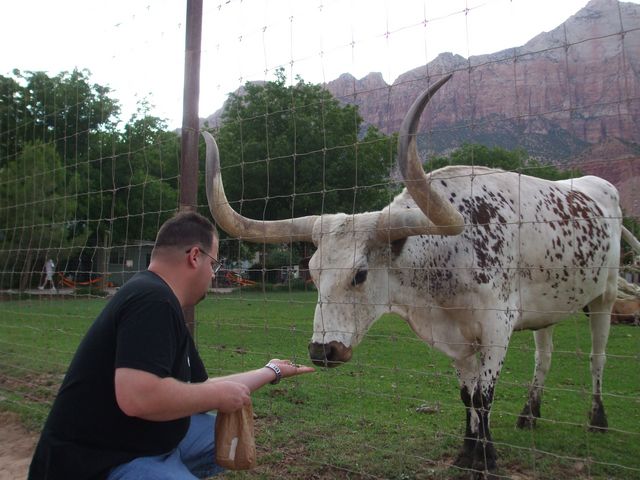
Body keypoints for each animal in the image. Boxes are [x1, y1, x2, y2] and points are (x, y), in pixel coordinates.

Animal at [202, 74, 631, 477]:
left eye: (360, 274)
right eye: (311, 272)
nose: (323, 351)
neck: (448, 259)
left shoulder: (497, 327)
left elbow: (484, 396)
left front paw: (487, 460)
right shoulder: (457, 337)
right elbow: (467, 395)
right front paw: (466, 455)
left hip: (605, 295)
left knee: (597, 355)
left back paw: (598, 420)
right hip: (549, 307)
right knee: (545, 354)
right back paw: (530, 413)